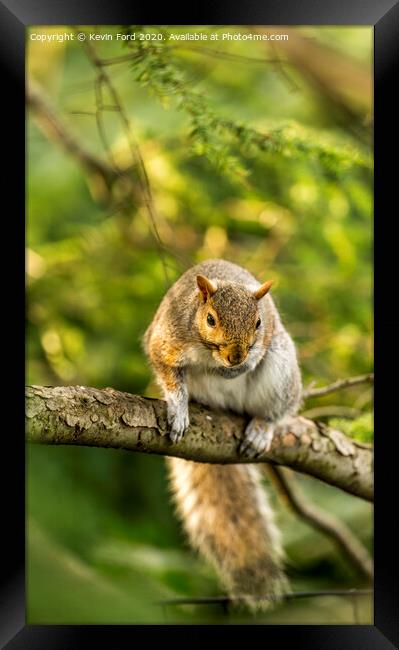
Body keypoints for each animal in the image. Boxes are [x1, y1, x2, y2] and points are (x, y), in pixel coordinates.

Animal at [144, 258, 304, 608]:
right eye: (210, 319)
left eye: (258, 323)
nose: (236, 356)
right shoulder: (165, 340)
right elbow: (168, 373)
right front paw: (178, 409)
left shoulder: (267, 339)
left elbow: (257, 356)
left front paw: (244, 366)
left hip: (282, 372)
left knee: (275, 409)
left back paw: (261, 427)